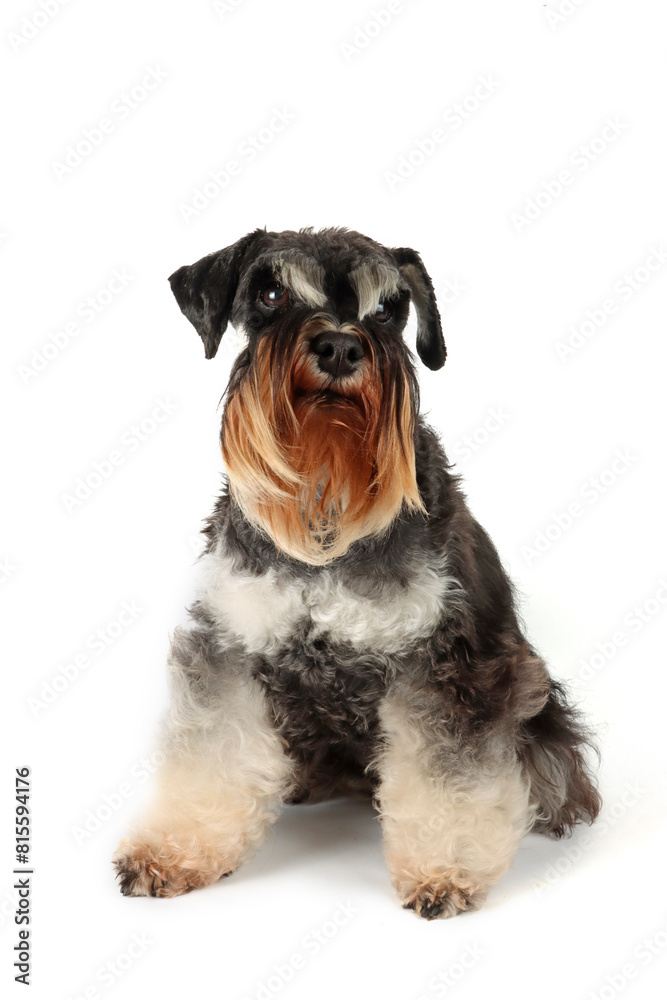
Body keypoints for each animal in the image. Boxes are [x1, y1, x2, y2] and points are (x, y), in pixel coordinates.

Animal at [112, 229, 604, 920]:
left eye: (390, 308)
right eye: (271, 292)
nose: (342, 346)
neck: (326, 510)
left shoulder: (445, 664)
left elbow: (448, 777)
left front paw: (445, 870)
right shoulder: (228, 647)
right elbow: (211, 752)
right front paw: (174, 850)